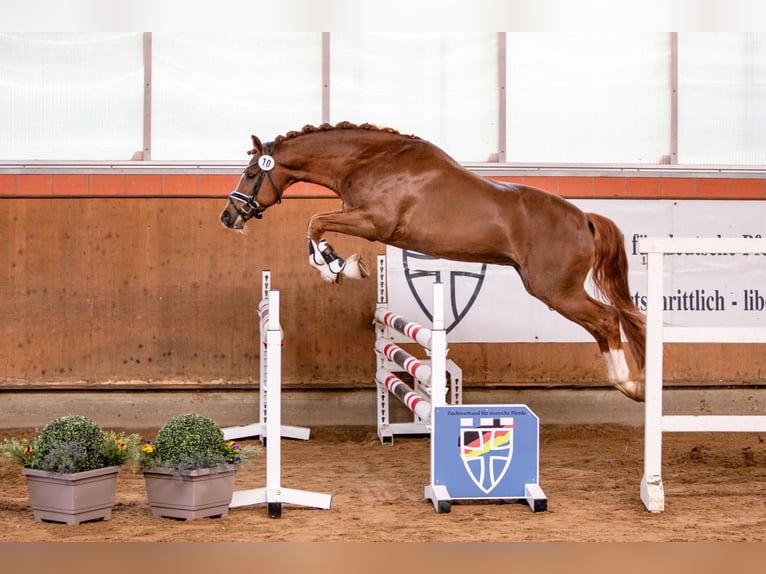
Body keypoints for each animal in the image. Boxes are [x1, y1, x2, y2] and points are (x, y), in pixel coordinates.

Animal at [220, 122, 648, 400]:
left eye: (251, 173)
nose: (228, 216)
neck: (368, 160)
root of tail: (585, 218)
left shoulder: (373, 222)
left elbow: (315, 223)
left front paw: (337, 268)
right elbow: (316, 225)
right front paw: (339, 265)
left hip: (555, 289)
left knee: (607, 319)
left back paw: (629, 385)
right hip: (551, 289)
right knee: (605, 323)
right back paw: (629, 382)